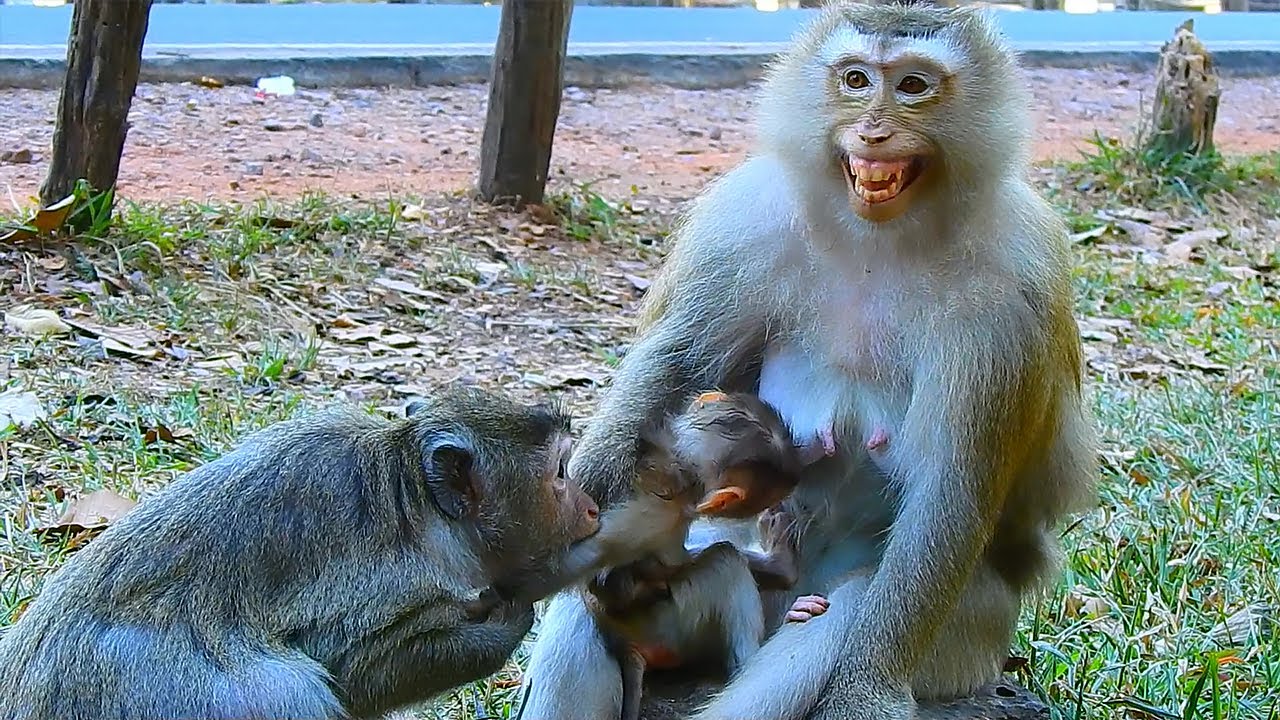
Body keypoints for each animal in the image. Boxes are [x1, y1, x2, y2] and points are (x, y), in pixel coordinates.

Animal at [0, 385, 601, 720]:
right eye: (562, 474)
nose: (593, 507)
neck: (417, 504)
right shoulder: (391, 581)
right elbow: (355, 668)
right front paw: (508, 620)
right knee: (291, 689)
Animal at [518, 3, 1099, 720]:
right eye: (855, 79)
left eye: (912, 85)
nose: (873, 131)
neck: (880, 237)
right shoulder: (744, 226)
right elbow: (678, 365)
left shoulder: (1009, 296)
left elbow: (954, 486)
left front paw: (869, 689)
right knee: (592, 607)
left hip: (969, 640)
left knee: (843, 608)